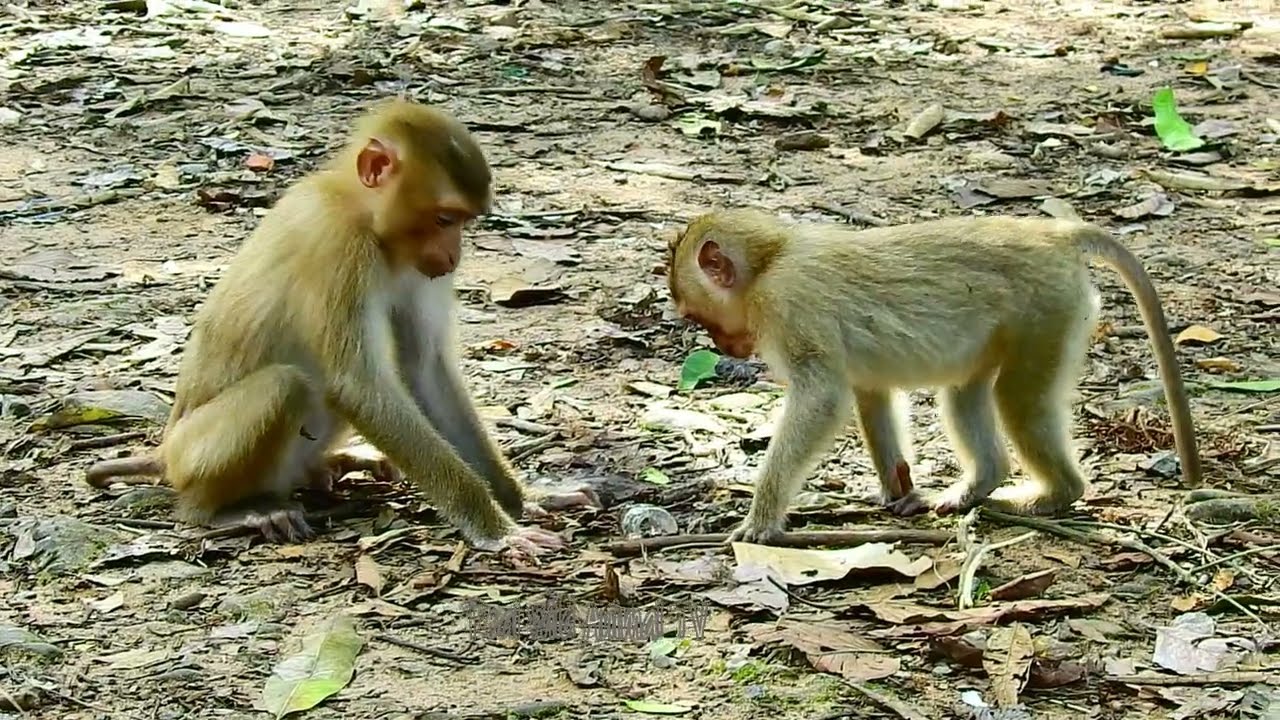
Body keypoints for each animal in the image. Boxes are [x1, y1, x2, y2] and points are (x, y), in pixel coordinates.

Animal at [85, 98, 598, 557]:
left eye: (463, 223)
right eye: (444, 218)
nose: (454, 255)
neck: (363, 213)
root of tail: (165, 450)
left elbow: (424, 371)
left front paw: (523, 500)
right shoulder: (337, 243)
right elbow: (358, 385)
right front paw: (497, 530)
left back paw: (330, 467)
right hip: (192, 458)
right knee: (287, 385)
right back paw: (225, 511)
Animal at [665, 208, 1201, 544]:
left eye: (701, 318)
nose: (723, 347)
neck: (774, 256)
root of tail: (1050, 235)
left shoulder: (789, 303)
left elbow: (821, 397)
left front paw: (762, 519)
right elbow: (869, 392)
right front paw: (898, 489)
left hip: (1048, 311)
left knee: (1018, 398)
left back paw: (1055, 494)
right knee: (965, 394)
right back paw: (980, 484)